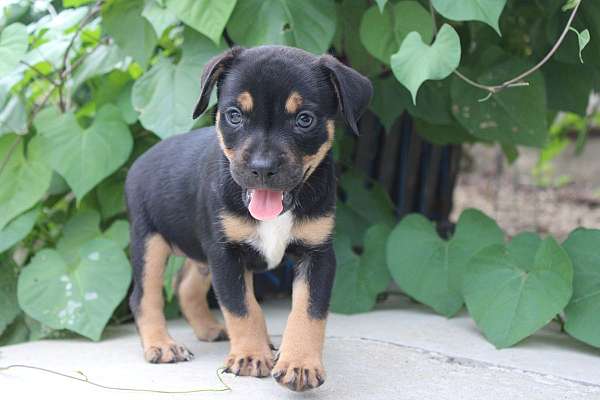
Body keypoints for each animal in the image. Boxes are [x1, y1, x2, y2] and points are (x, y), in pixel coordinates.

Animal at [125, 44, 372, 390]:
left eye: (304, 119)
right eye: (234, 115)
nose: (262, 168)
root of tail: (140, 160)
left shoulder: (318, 254)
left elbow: (308, 312)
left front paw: (299, 363)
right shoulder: (226, 254)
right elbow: (243, 307)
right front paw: (251, 356)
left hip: (199, 253)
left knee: (185, 286)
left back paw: (211, 329)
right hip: (148, 242)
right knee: (143, 297)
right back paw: (162, 345)